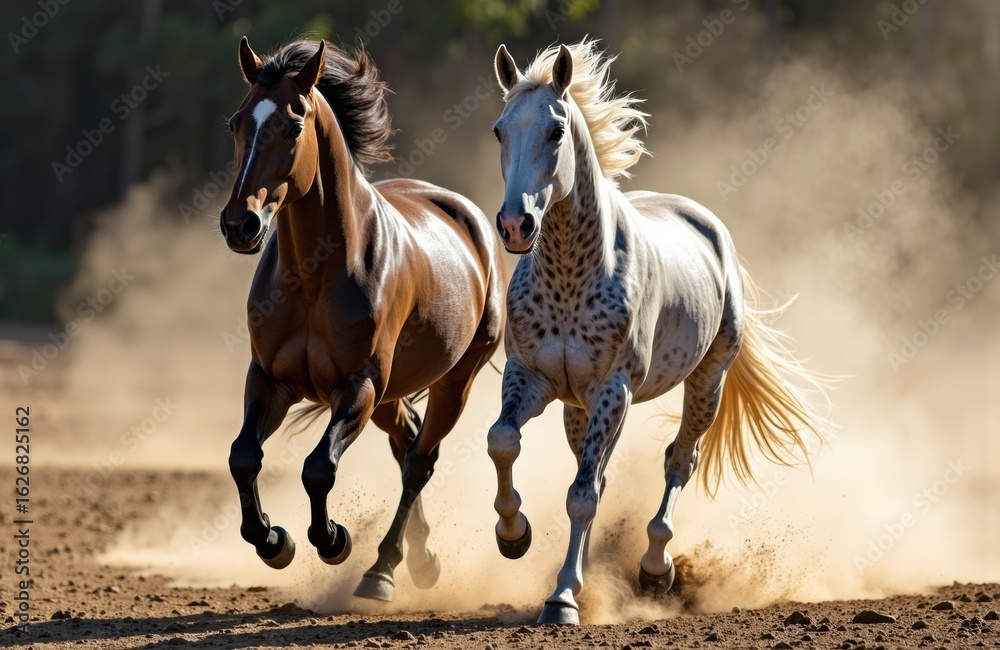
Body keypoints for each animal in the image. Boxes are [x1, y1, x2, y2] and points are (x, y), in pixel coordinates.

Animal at [219, 37, 504, 602]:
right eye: (237, 123)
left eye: (293, 126)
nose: (240, 224)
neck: (314, 275)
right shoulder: (270, 379)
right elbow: (243, 456)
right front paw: (273, 541)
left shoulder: (359, 384)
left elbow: (318, 468)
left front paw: (331, 539)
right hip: (391, 396)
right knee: (407, 441)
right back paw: (420, 557)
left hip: (451, 382)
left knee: (419, 462)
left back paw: (383, 570)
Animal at [486, 40, 828, 625]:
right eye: (499, 130)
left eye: (555, 131)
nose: (515, 225)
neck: (571, 276)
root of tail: (712, 229)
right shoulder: (531, 377)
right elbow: (503, 441)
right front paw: (514, 535)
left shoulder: (614, 390)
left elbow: (582, 495)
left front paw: (562, 600)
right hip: (579, 407)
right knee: (597, 470)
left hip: (706, 383)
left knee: (677, 462)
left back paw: (654, 569)